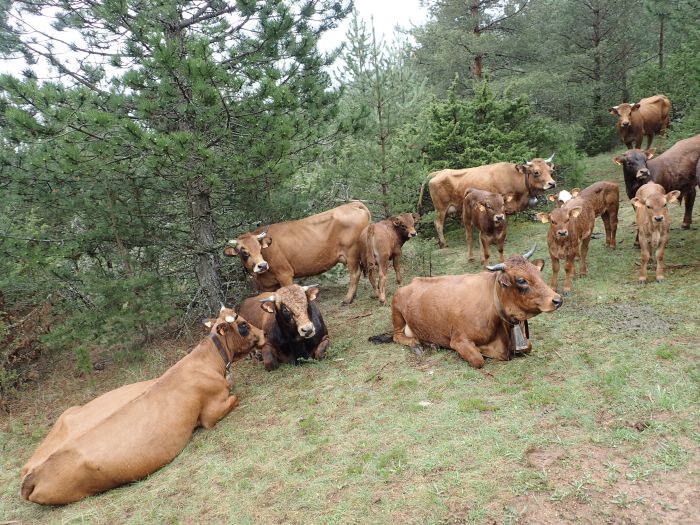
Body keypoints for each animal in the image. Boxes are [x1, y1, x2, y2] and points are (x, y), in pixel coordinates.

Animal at [20, 308, 266, 504]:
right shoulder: (211, 413)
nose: (264, 334)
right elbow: (236, 397)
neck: (207, 362)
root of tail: (33, 474)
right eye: (243, 325)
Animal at [224, 203, 372, 304]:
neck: (261, 277)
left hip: (352, 253)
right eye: (244, 252)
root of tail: (353, 204)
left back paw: (348, 299)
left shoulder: (285, 275)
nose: (262, 265)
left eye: (260, 248)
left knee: (355, 274)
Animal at [372, 247, 564, 366]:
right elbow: (478, 359)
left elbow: (529, 345)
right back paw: (417, 343)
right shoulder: (459, 339)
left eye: (537, 272)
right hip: (397, 314)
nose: (557, 300)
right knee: (397, 336)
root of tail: (411, 282)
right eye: (521, 280)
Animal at [416, 156, 556, 248]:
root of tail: (440, 172)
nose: (552, 183)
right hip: (440, 208)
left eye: (550, 171)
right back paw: (444, 243)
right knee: (438, 224)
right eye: (536, 172)